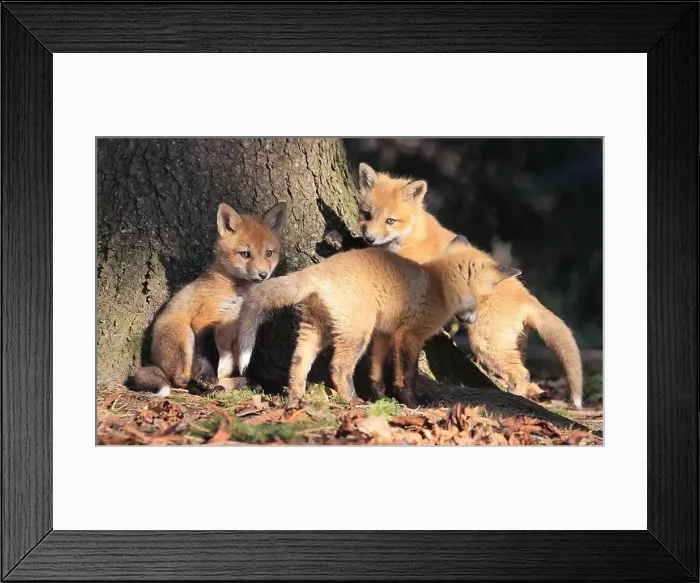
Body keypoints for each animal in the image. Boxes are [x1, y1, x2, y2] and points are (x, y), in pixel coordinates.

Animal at [132, 201, 287, 397]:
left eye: (268, 253)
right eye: (245, 254)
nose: (263, 275)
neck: (238, 292)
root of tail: (155, 363)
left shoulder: (245, 326)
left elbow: (246, 359)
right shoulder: (204, 319)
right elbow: (209, 352)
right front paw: (207, 378)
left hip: (227, 356)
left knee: (221, 378)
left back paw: (237, 384)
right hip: (184, 336)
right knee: (179, 379)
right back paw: (203, 388)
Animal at [225, 240, 520, 409]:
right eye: (483, 299)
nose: (472, 321)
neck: (438, 284)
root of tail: (318, 270)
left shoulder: (384, 334)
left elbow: (377, 371)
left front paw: (381, 398)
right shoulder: (409, 335)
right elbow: (407, 375)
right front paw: (412, 402)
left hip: (317, 330)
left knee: (298, 362)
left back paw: (295, 399)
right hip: (357, 334)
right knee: (338, 368)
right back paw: (353, 401)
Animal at [357, 162, 584, 409]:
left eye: (390, 221)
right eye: (367, 215)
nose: (368, 239)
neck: (411, 238)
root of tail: (527, 296)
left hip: (485, 343)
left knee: (522, 373)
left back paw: (516, 399)